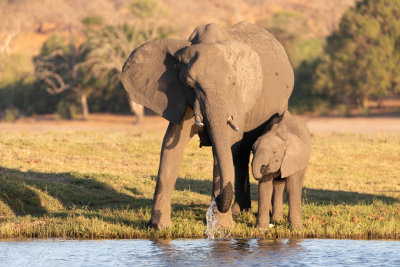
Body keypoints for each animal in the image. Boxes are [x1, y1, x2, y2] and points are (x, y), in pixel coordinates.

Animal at [120, 21, 292, 230]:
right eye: (190, 83)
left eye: (233, 82)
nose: (217, 199)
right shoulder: (182, 96)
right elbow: (171, 145)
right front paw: (159, 227)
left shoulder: (236, 100)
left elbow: (226, 145)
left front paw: (222, 228)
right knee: (241, 154)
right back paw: (239, 210)